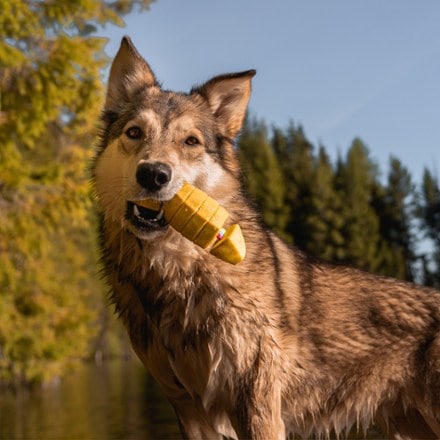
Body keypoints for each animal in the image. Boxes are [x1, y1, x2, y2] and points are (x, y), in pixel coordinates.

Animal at [92, 36, 440, 438]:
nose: (153, 174)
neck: (179, 272)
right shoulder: (188, 408)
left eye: (190, 141)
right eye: (134, 133)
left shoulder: (256, 404)